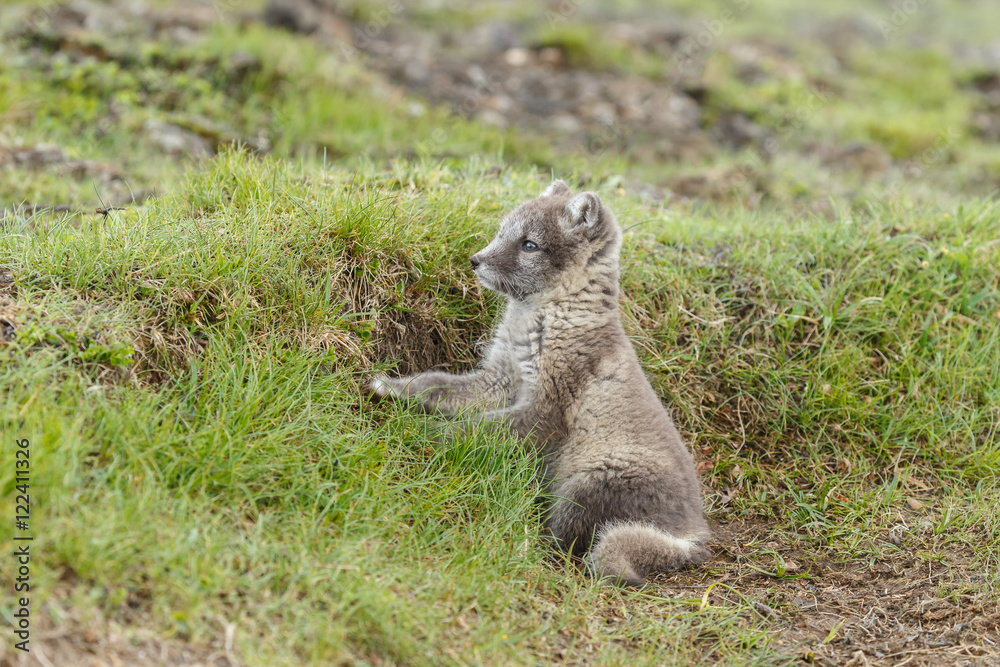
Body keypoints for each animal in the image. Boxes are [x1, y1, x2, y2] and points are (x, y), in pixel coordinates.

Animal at [370, 180, 710, 586]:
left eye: (529, 245)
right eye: (502, 232)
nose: (475, 260)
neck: (538, 317)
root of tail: (692, 535)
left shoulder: (547, 408)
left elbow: (475, 429)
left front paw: (422, 435)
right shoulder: (498, 379)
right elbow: (436, 385)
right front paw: (391, 388)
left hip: (589, 483)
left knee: (568, 543)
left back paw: (527, 548)